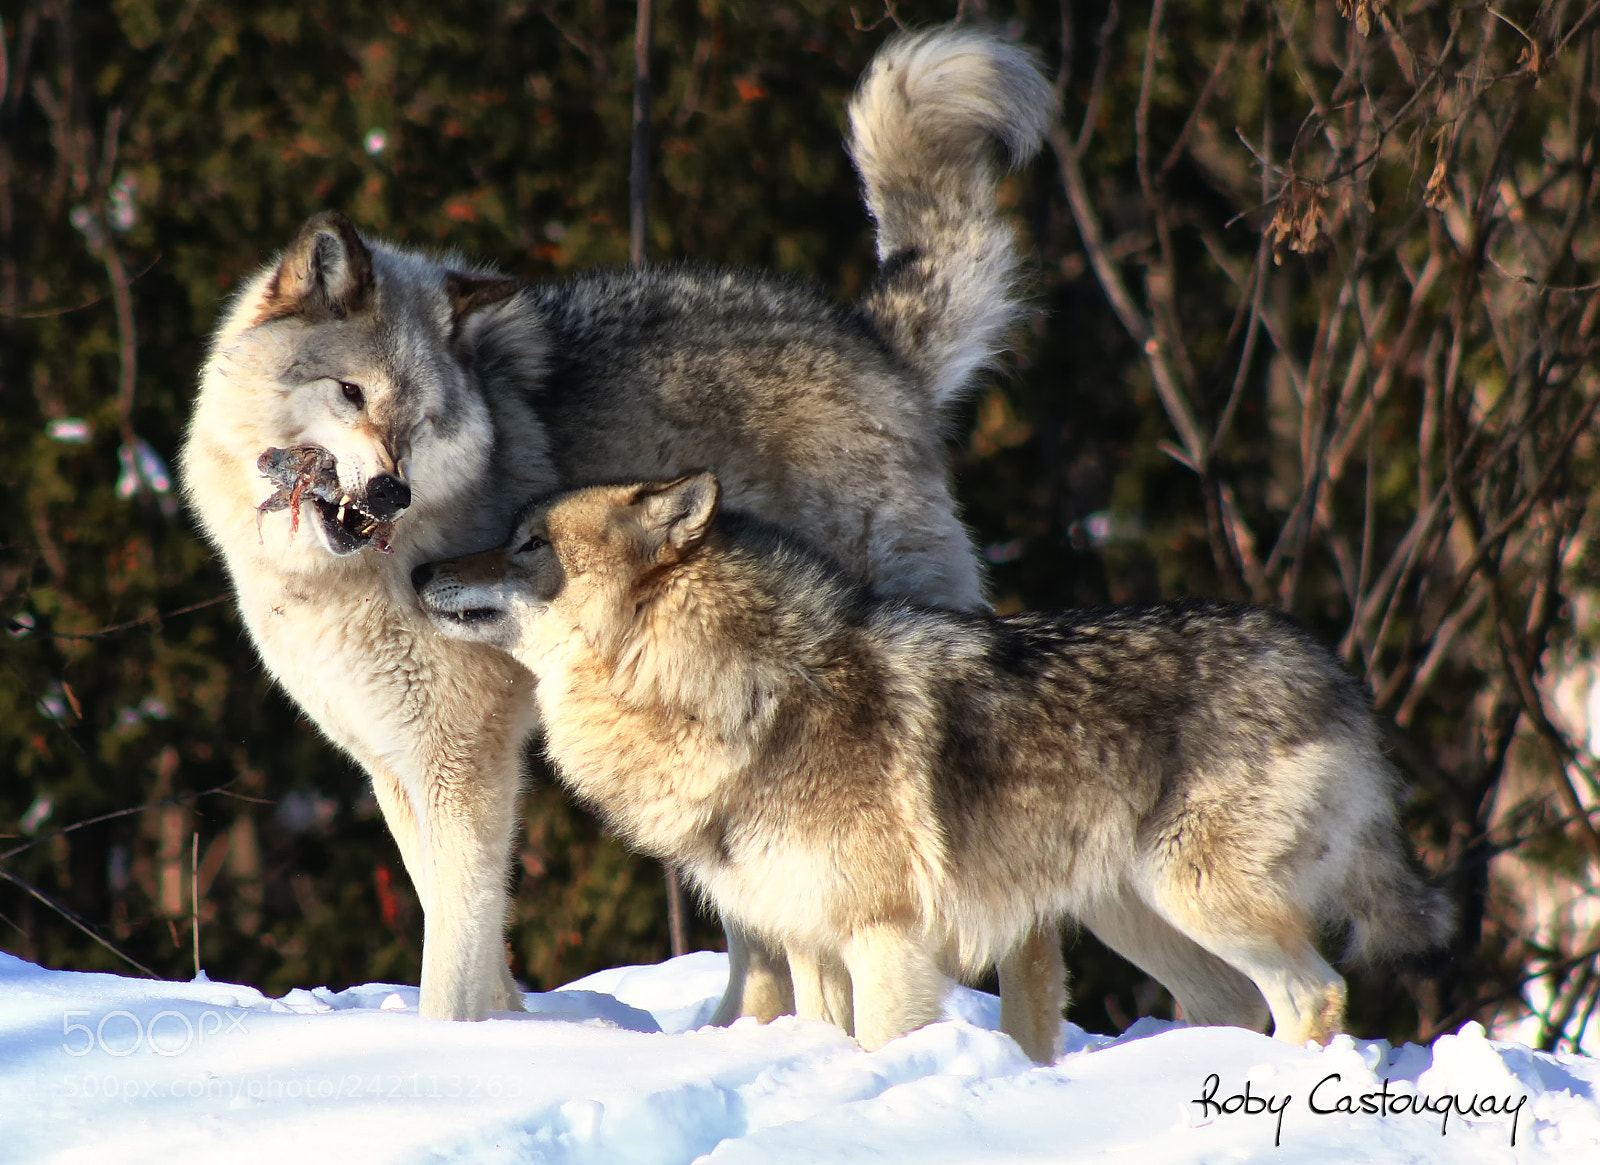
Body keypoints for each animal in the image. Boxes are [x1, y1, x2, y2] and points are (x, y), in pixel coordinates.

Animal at [178, 28, 1059, 1023]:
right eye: (353, 394)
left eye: (422, 419)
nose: (394, 493)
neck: (328, 580)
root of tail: (874, 340)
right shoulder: (393, 763)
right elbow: (460, 919)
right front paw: (512, 1025)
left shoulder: (464, 760)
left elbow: (454, 944)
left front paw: (451, 1039)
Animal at [413, 473, 1454, 1060]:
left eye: (528, 545)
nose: (418, 567)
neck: (743, 695)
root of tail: (1335, 671)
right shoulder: (807, 938)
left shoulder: (885, 939)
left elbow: (881, 1043)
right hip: (1133, 911)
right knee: (1238, 1003)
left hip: (1194, 894)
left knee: (1314, 993)